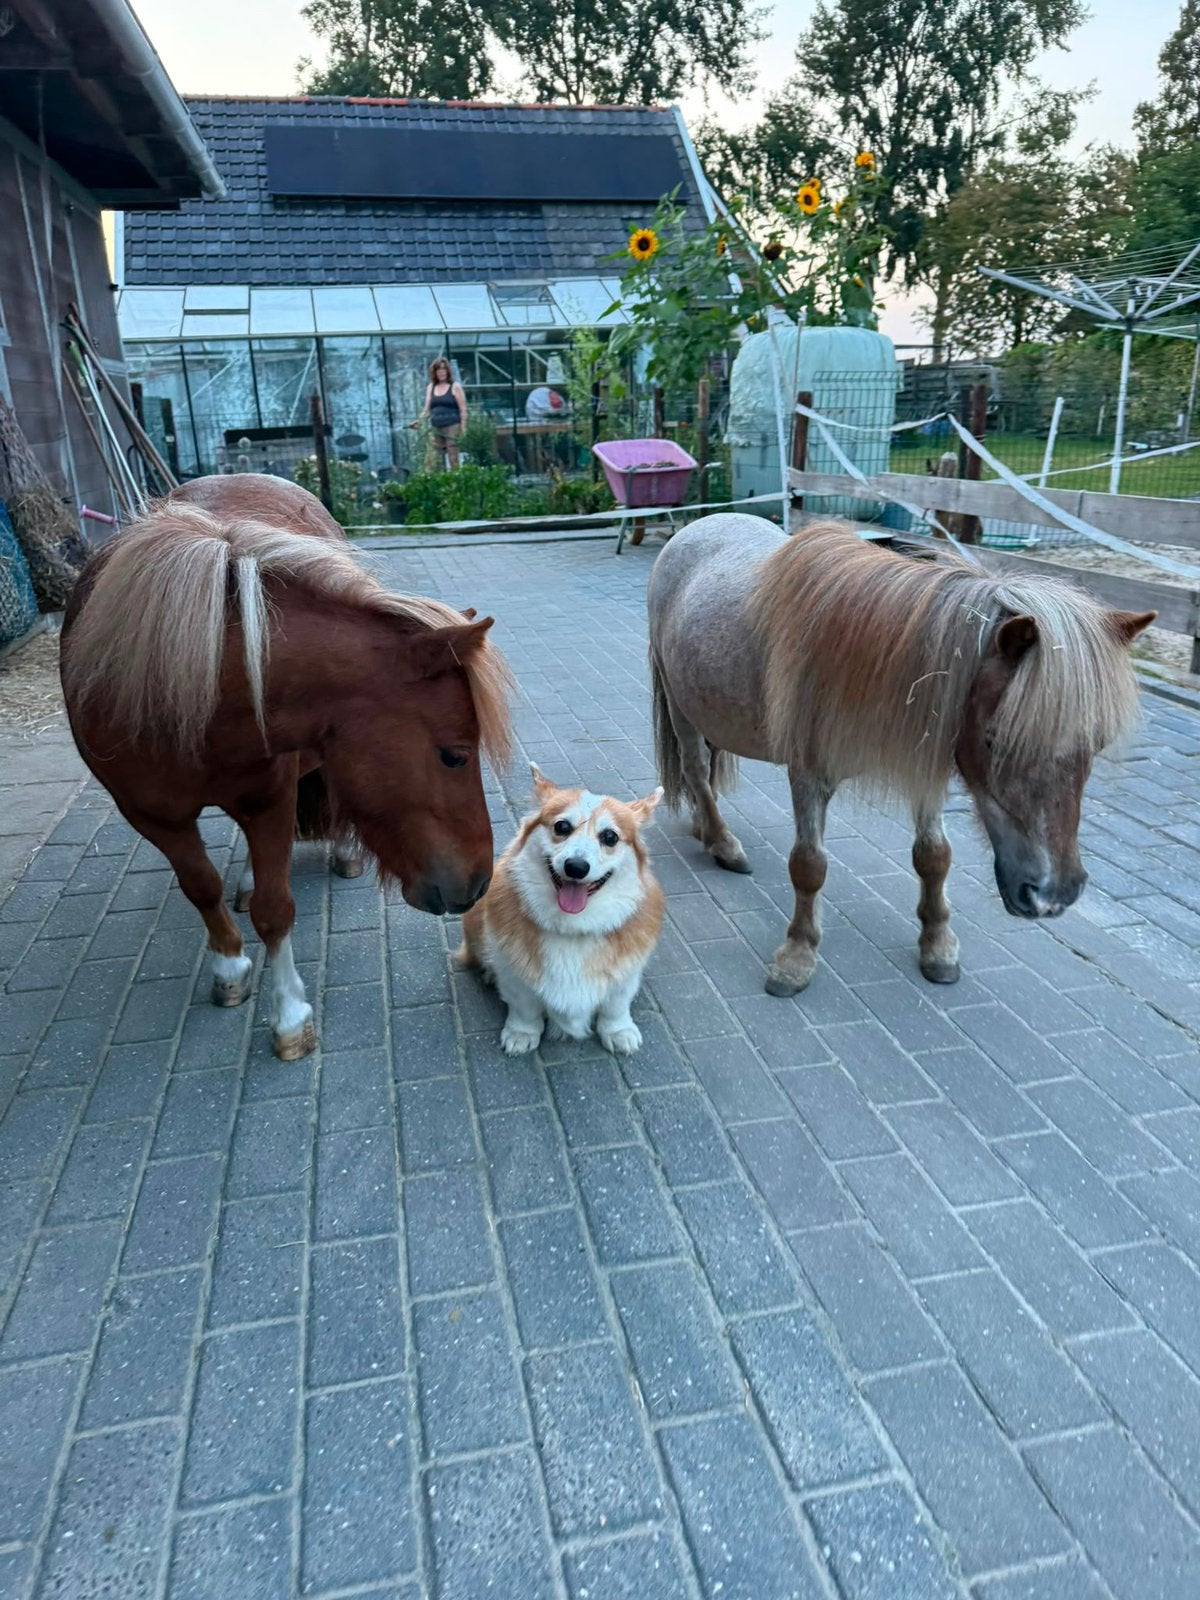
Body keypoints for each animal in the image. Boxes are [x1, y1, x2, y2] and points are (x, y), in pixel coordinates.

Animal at [61, 474, 512, 1059]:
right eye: (455, 754)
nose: (479, 883)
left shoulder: (270, 801)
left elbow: (275, 909)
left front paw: (290, 1016)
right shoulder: (151, 816)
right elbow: (201, 887)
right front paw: (231, 966)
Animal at [648, 514, 1153, 996]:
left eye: (1098, 742)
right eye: (995, 739)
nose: (1052, 894)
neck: (861, 656)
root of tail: (693, 529)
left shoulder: (926, 766)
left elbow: (934, 856)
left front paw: (938, 945)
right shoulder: (808, 776)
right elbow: (809, 866)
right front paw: (797, 957)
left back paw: (705, 828)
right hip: (680, 704)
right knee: (696, 768)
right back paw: (722, 843)